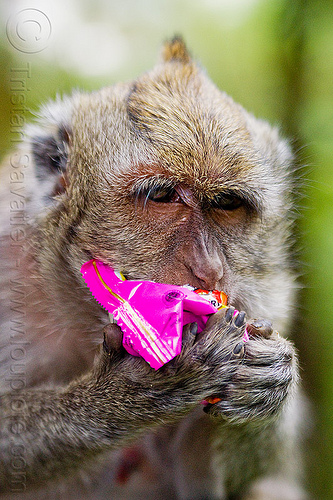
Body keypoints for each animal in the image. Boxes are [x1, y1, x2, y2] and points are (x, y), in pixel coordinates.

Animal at [0, 39, 306, 500]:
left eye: (227, 203)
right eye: (162, 196)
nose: (208, 268)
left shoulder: (265, 293)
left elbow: (237, 475)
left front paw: (268, 377)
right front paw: (125, 394)